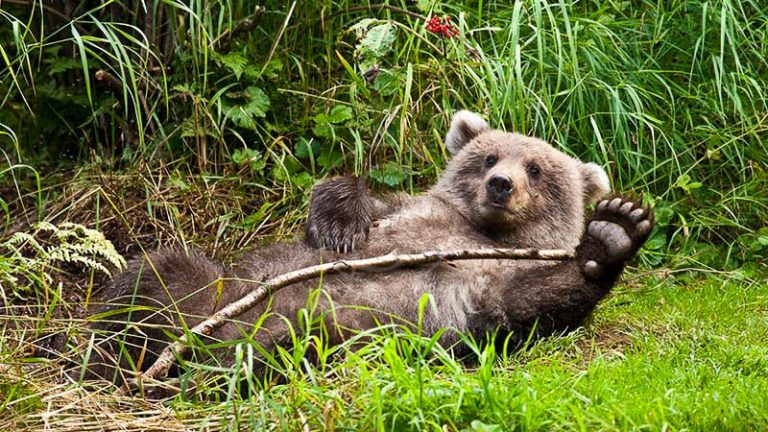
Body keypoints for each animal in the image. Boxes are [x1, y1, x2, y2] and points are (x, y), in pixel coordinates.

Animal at [80, 111, 653, 385]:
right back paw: (102, 360)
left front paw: (614, 230)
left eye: (536, 168)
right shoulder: (409, 213)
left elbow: (529, 305)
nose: (500, 185)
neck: (483, 233)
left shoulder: (485, 283)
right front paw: (340, 225)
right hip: (219, 291)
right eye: (488, 155)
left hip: (337, 329)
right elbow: (352, 197)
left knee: (286, 343)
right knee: (155, 276)